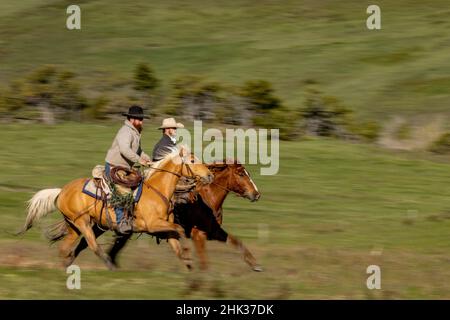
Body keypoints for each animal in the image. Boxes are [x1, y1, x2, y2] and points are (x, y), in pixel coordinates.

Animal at [18, 148, 213, 270]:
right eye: (192, 160)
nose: (210, 175)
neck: (156, 191)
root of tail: (62, 191)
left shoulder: (164, 227)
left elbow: (176, 243)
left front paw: (189, 266)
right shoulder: (153, 225)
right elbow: (180, 230)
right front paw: (189, 253)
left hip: (78, 227)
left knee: (66, 248)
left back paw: (66, 267)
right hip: (82, 223)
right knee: (91, 245)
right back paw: (109, 265)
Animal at [67, 159, 264, 272]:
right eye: (241, 173)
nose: (256, 194)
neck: (207, 199)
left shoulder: (213, 231)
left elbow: (237, 243)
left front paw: (255, 264)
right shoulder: (198, 235)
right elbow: (203, 259)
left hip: (105, 226)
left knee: (93, 244)